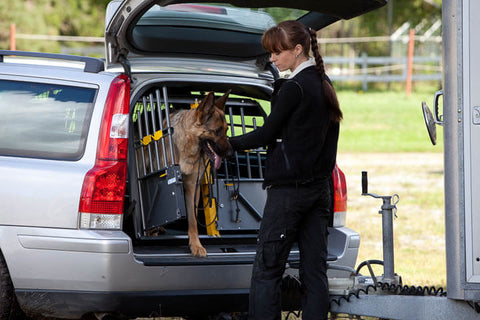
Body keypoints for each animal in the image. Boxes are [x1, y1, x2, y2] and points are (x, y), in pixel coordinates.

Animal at [167, 91, 232, 256]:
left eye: (227, 130)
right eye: (217, 131)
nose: (230, 154)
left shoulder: (192, 188)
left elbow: (193, 220)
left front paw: (195, 245)